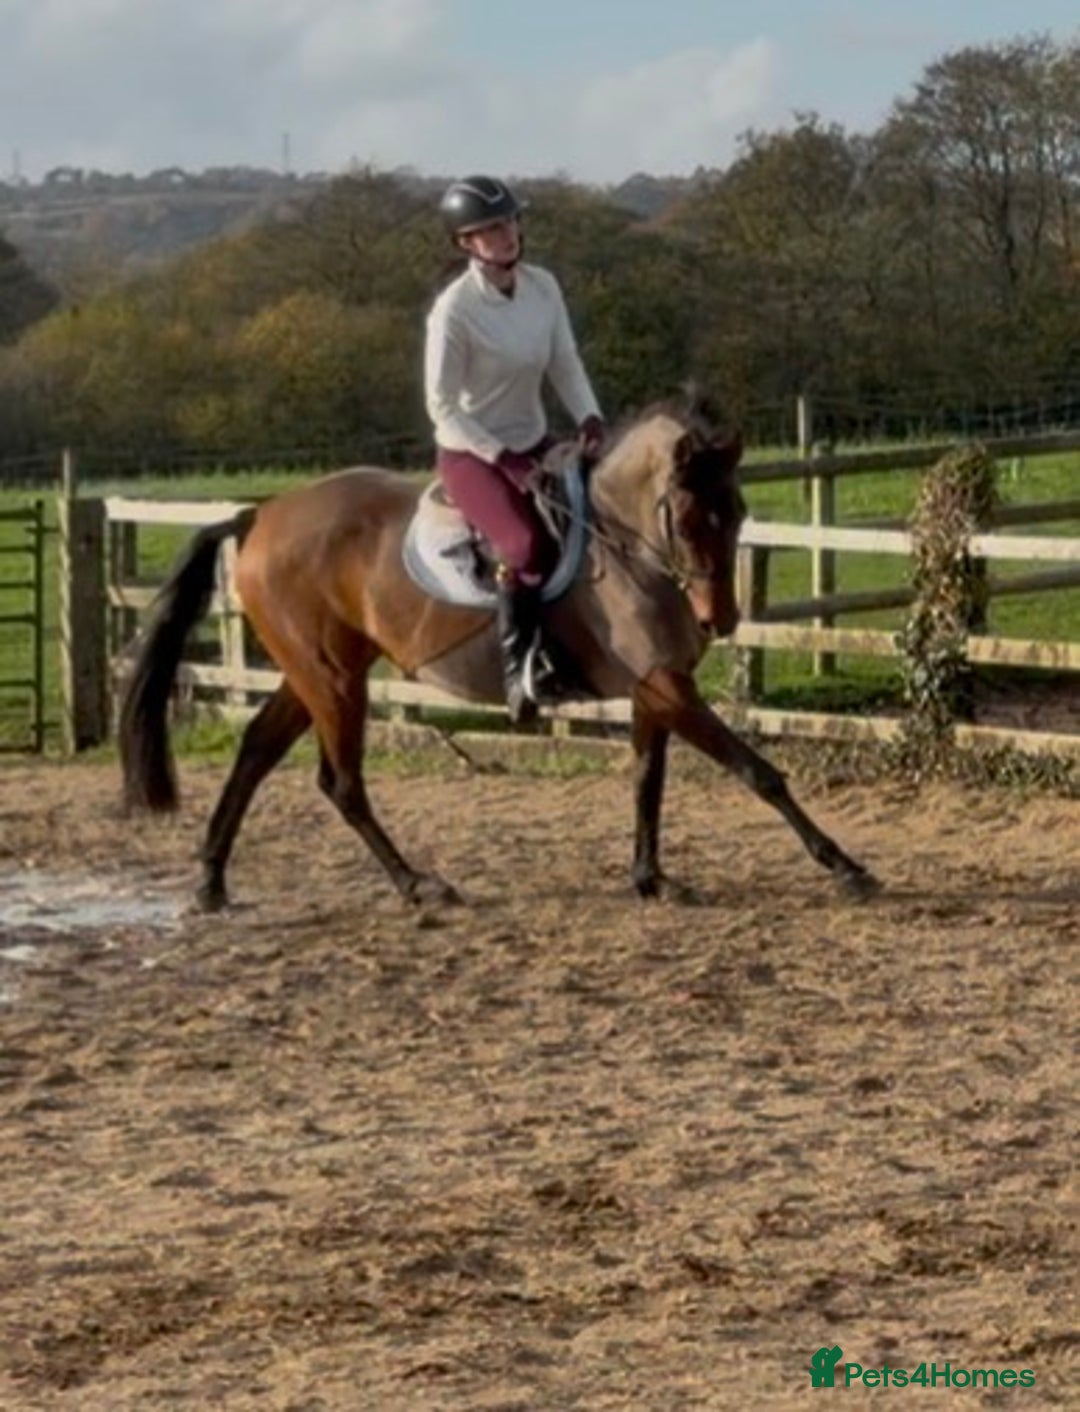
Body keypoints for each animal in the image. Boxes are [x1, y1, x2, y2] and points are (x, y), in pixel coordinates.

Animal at [119, 398, 879, 911]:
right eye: (688, 518)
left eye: (740, 512)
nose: (719, 619)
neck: (623, 545)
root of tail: (258, 516)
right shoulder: (667, 686)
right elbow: (758, 772)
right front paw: (844, 865)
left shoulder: (652, 688)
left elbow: (646, 781)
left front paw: (651, 878)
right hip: (333, 682)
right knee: (340, 783)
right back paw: (416, 884)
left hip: (316, 673)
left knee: (254, 750)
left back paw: (212, 880)